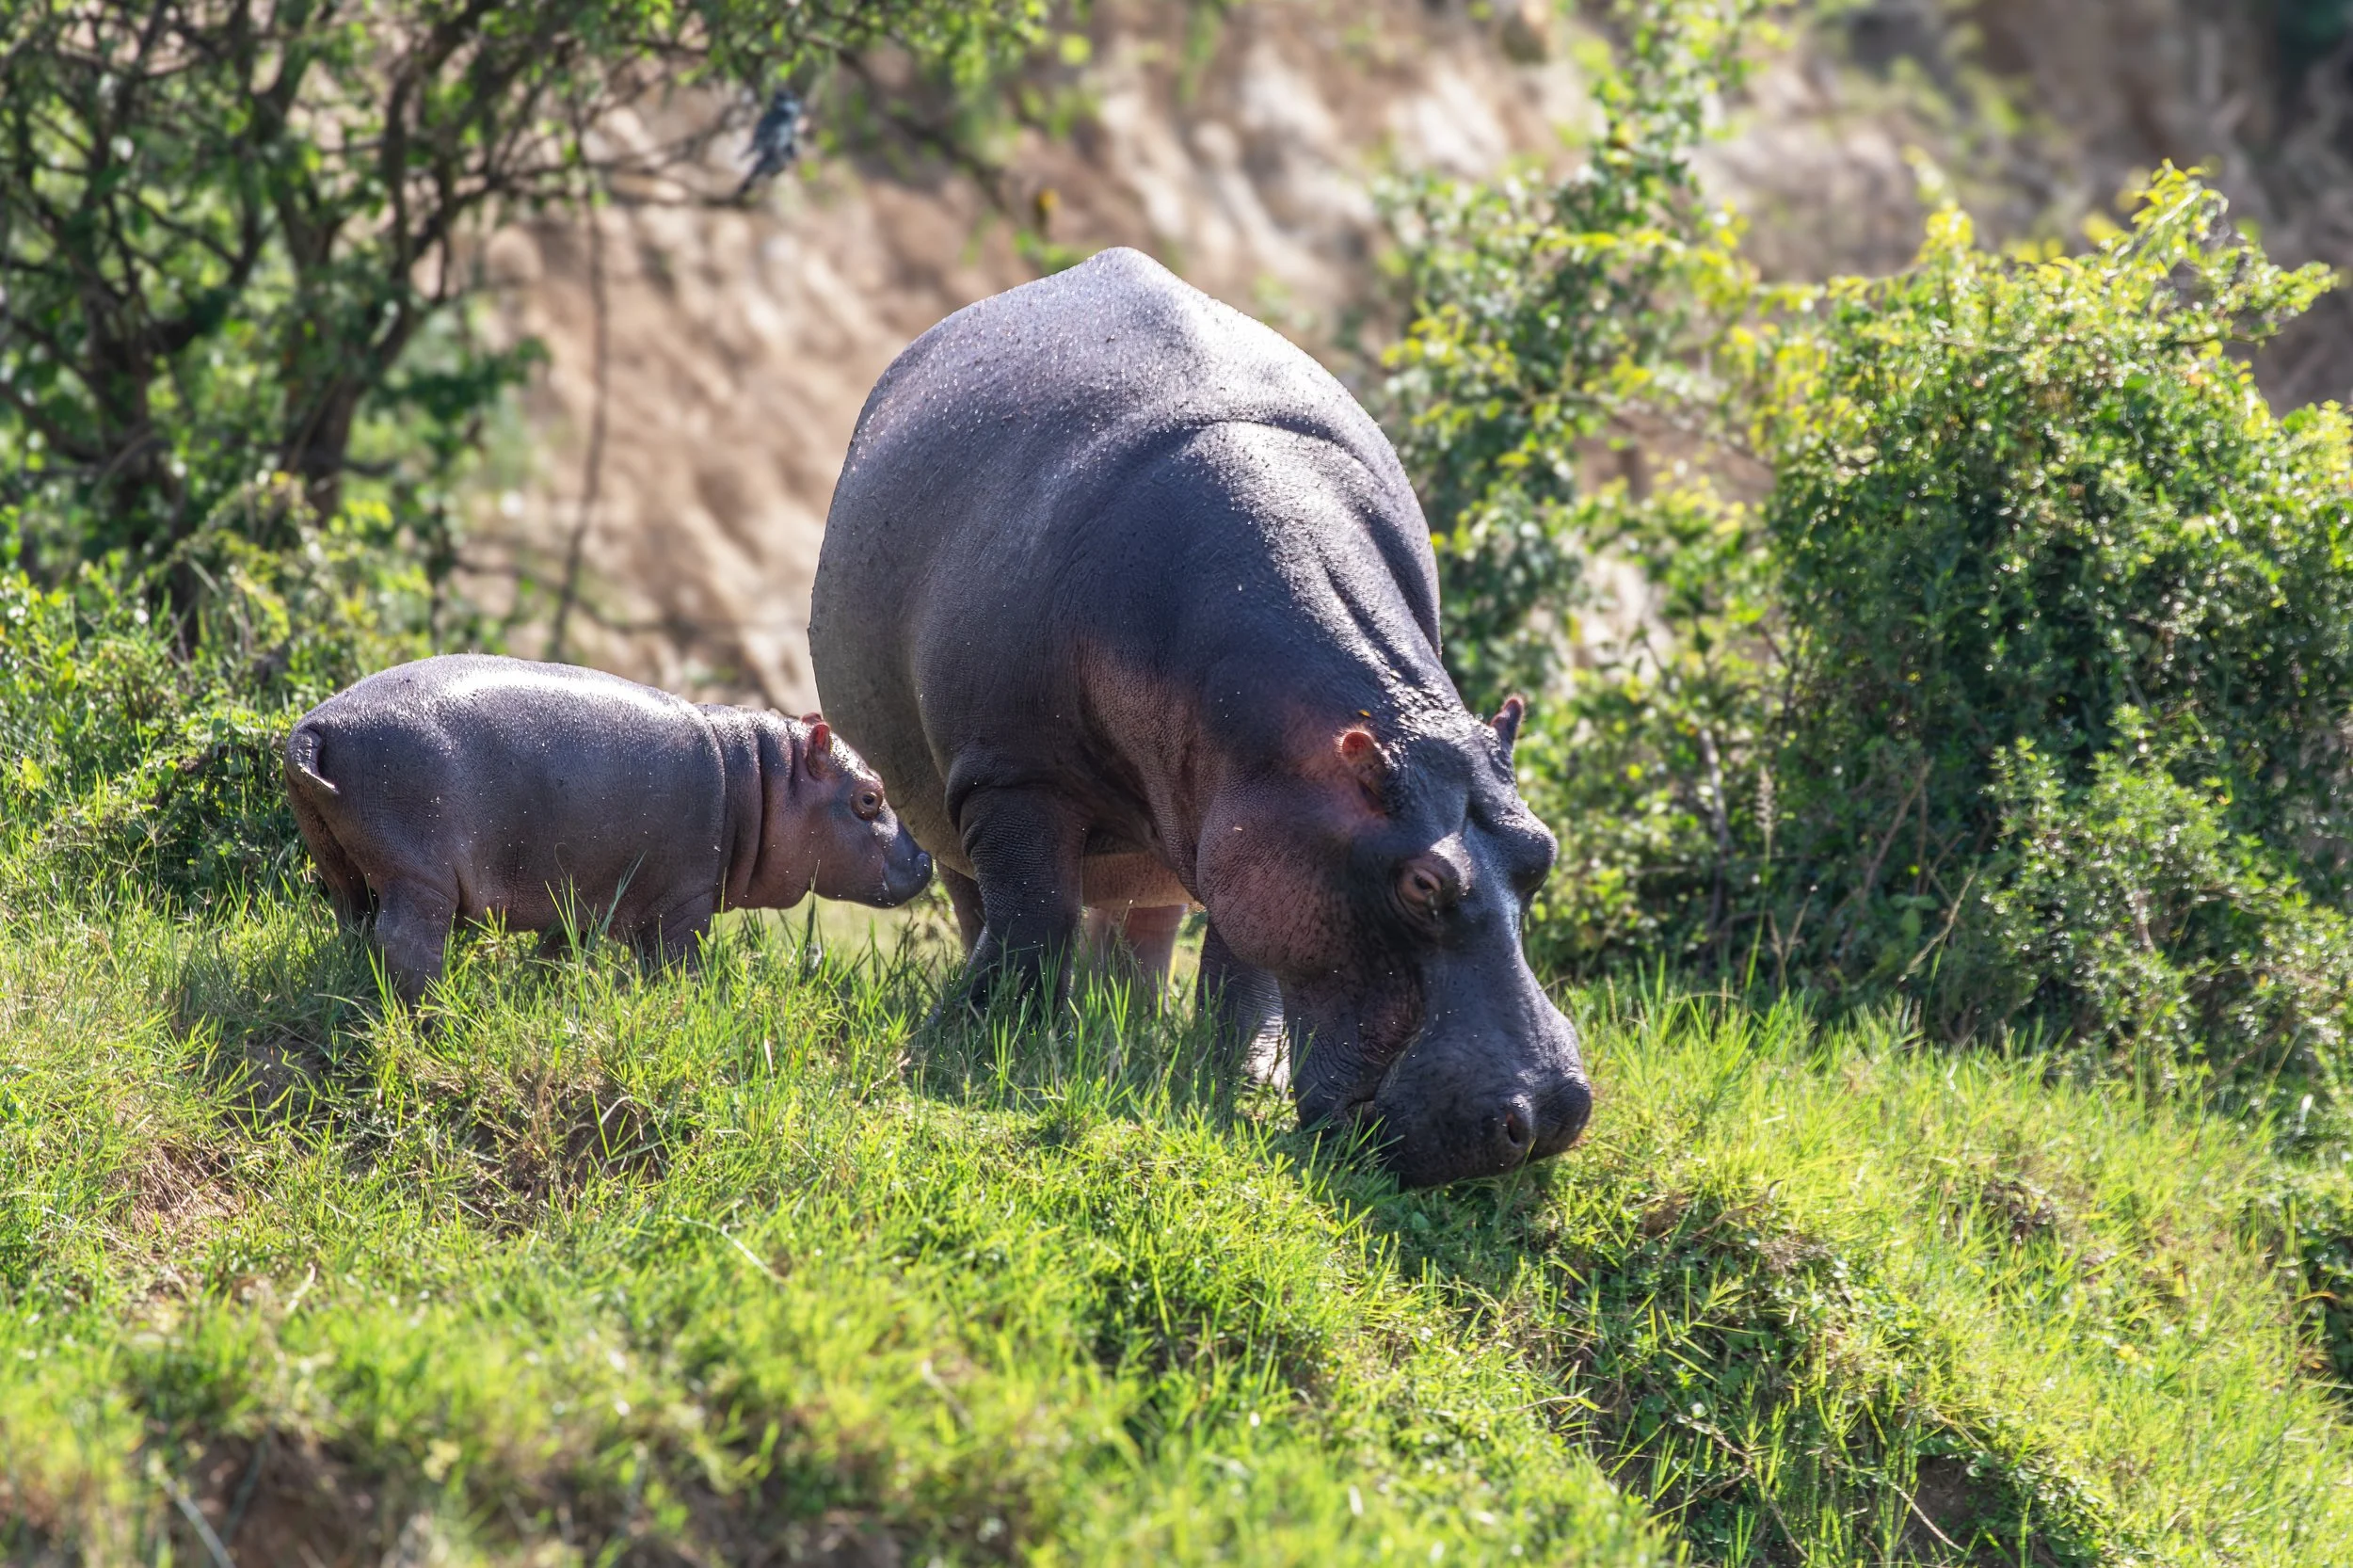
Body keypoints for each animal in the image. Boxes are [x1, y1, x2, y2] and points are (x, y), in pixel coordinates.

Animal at [283, 655, 932, 1000]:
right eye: (869, 798)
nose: (926, 860)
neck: (761, 778)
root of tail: (318, 726)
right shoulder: (684, 899)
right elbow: (679, 964)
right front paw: (689, 1005)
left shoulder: (578, 895)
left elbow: (556, 952)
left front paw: (545, 993)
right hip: (420, 876)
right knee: (406, 943)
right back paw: (437, 1009)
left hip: (338, 859)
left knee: (354, 921)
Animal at [810, 247, 1590, 1188]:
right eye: (1422, 884)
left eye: (1543, 850)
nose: (1549, 1115)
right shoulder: (1011, 776)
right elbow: (1034, 916)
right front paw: (979, 1052)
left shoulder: (1256, 822)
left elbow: (1241, 959)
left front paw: (1238, 1077)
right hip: (953, 806)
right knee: (983, 908)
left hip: (1163, 842)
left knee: (1146, 931)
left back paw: (1133, 1028)